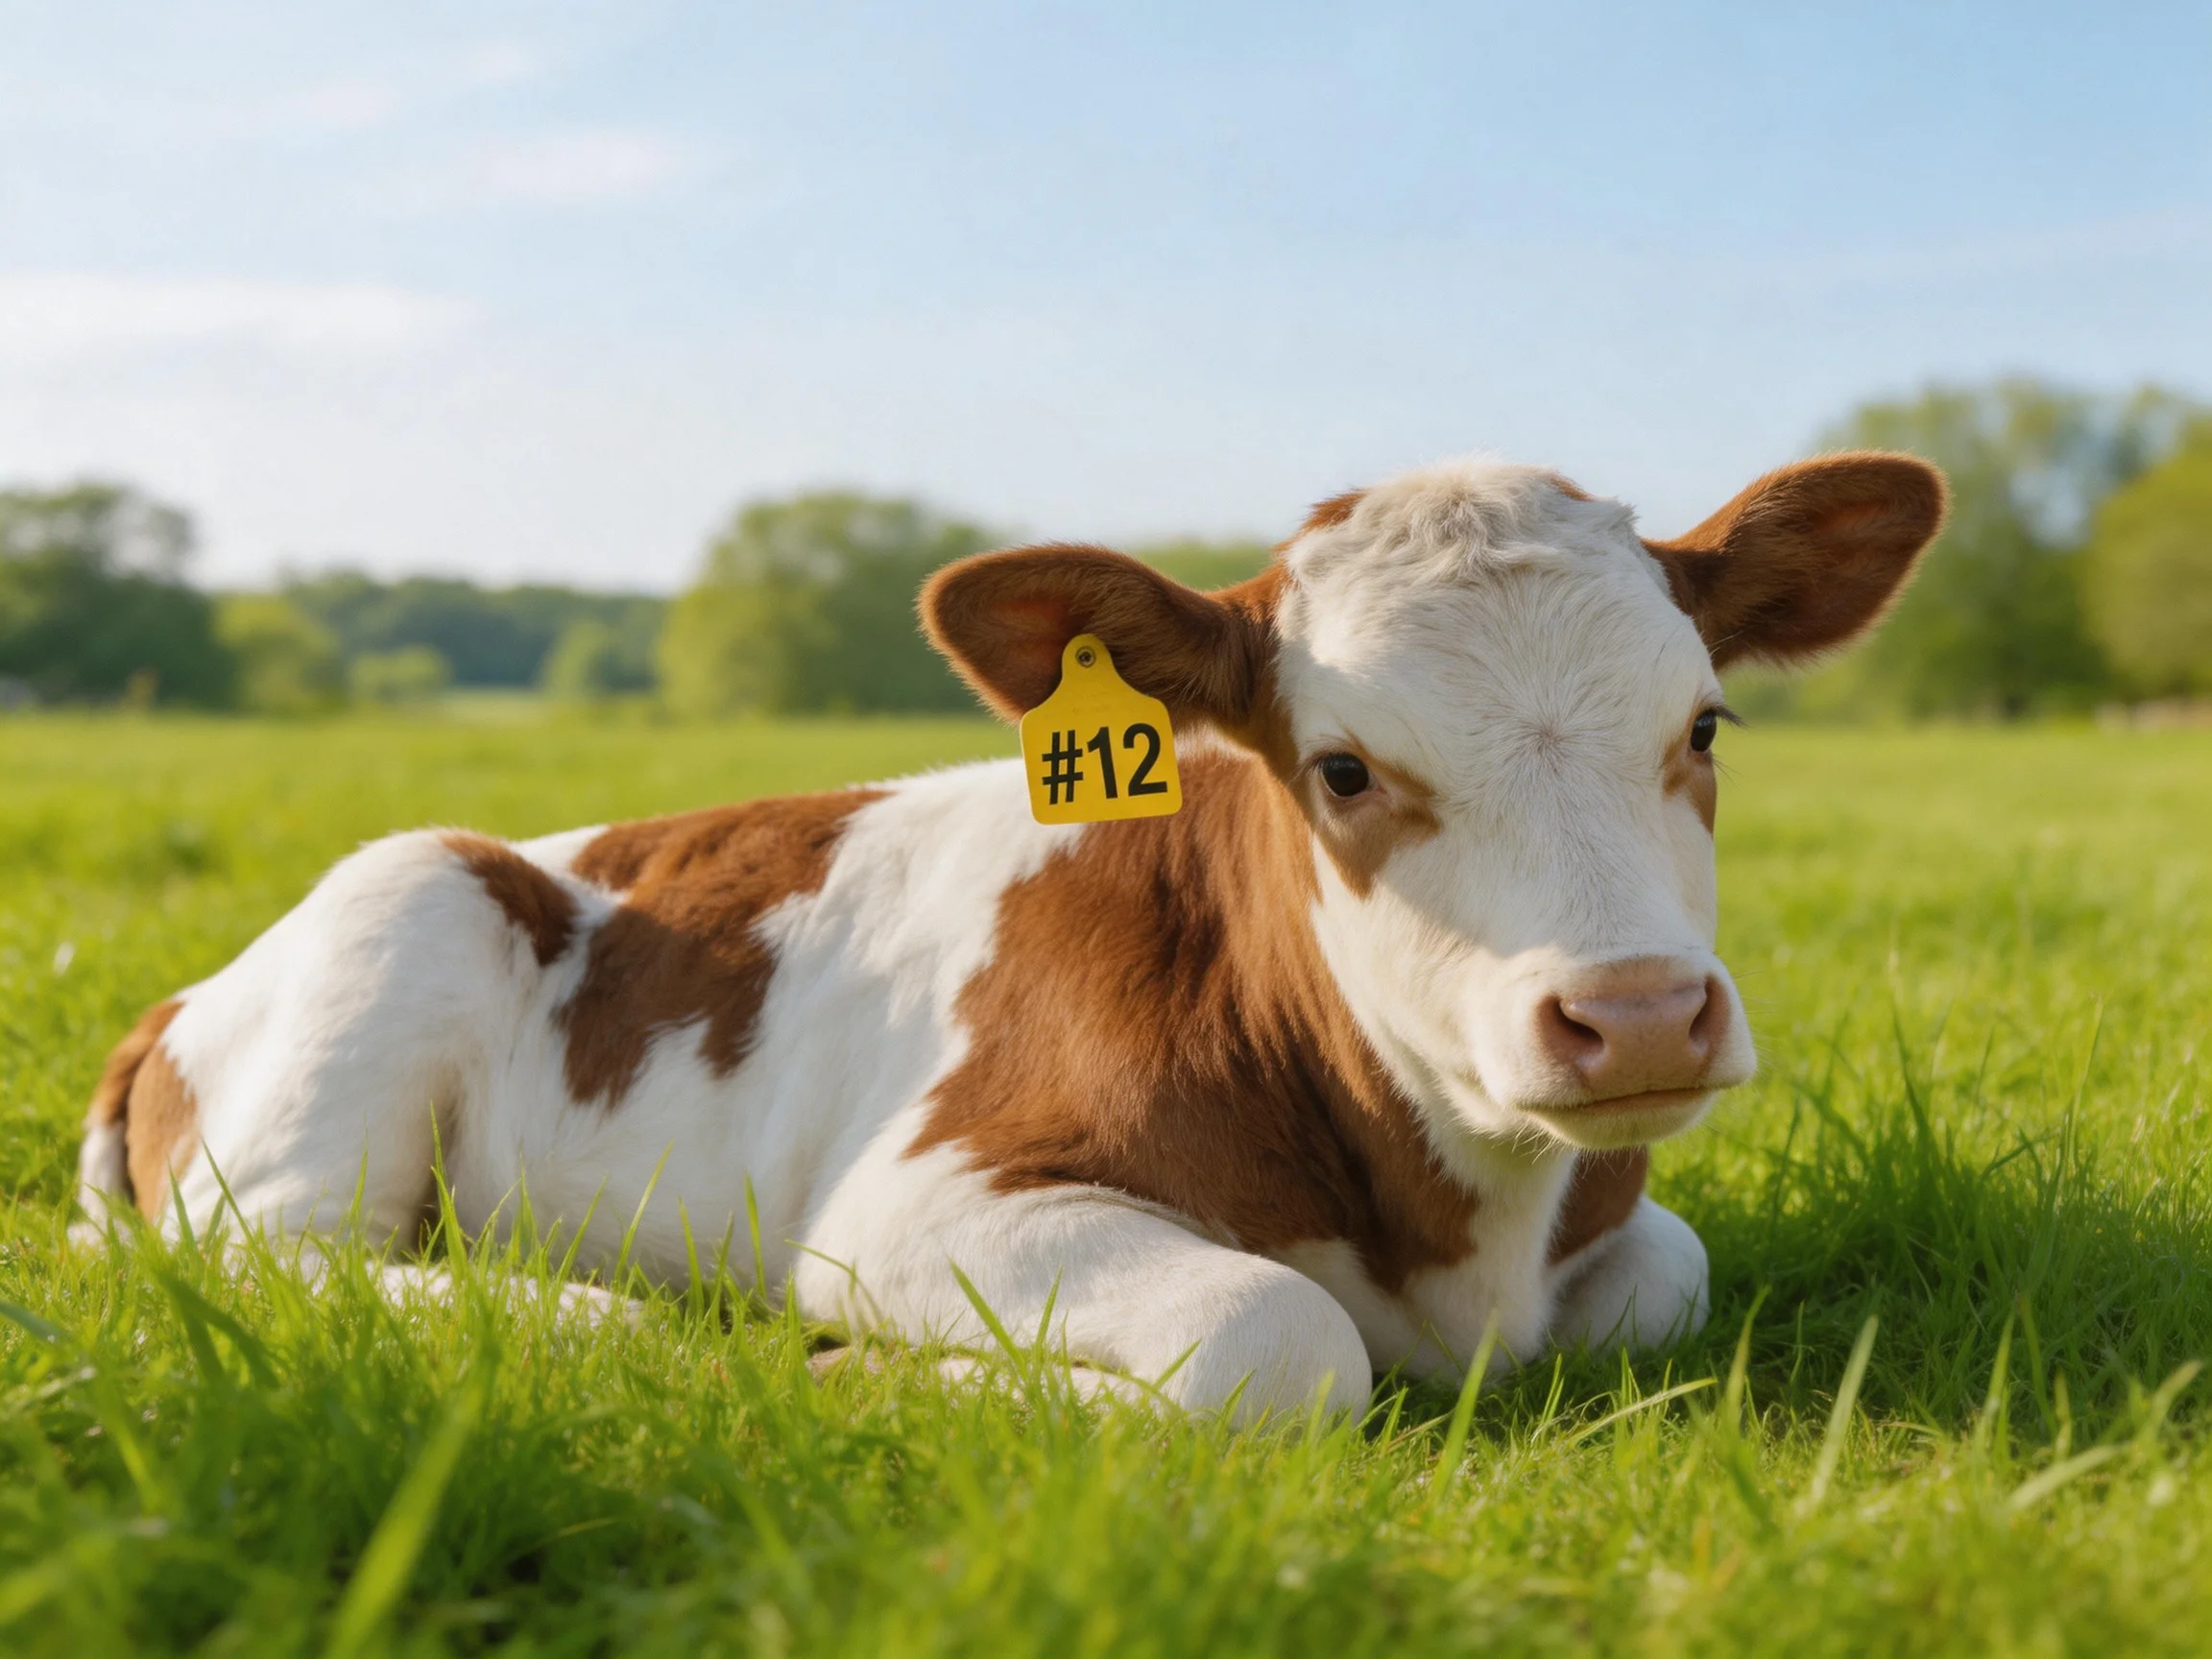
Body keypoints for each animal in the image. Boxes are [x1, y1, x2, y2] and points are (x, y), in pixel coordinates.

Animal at [74, 451, 1944, 1421]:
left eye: (1702, 725)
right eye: (1342, 767)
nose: (1633, 1014)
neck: (1449, 1233)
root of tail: (182, 995)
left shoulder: (1616, 1239)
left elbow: (1668, 1274)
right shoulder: (916, 1201)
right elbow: (1275, 1341)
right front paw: (880, 1374)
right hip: (405, 913)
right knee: (287, 1263)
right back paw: (590, 1314)